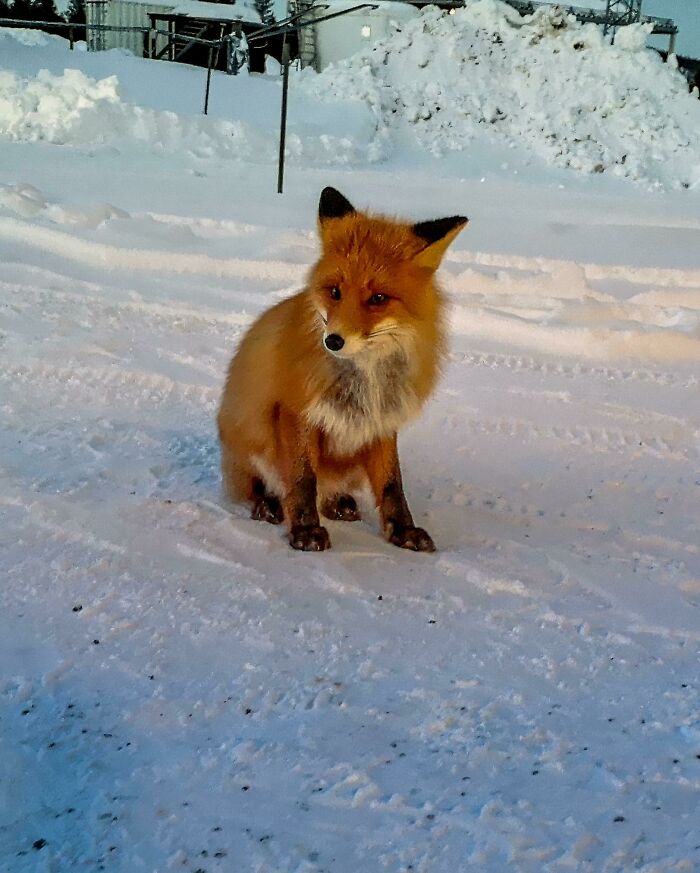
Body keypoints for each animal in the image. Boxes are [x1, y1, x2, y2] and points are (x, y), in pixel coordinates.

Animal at [217, 187, 467, 552]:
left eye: (378, 298)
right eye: (334, 292)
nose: (333, 341)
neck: (365, 379)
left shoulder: (382, 421)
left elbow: (392, 485)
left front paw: (403, 530)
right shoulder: (296, 412)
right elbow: (302, 480)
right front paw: (306, 530)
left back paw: (339, 503)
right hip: (249, 439)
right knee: (258, 488)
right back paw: (268, 505)